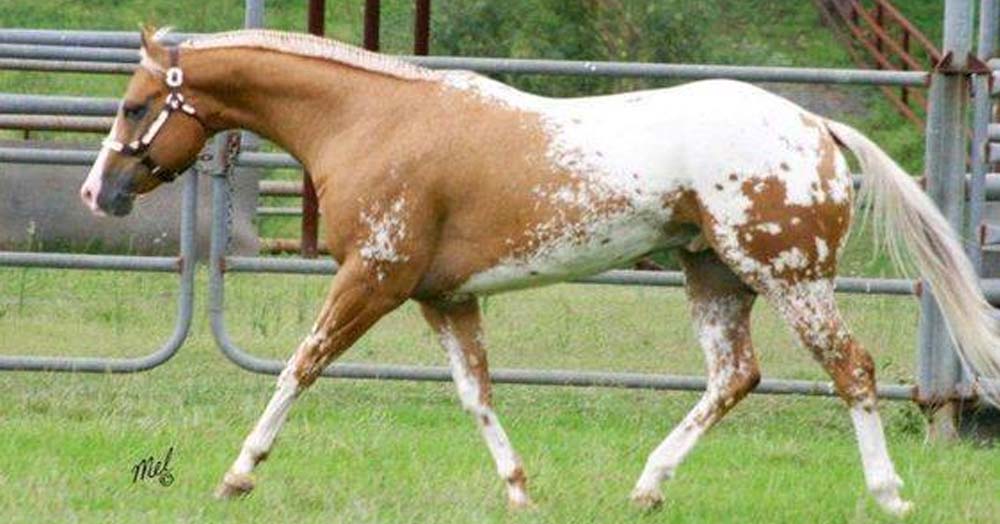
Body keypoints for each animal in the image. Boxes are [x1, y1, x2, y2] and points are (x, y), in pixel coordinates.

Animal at [82, 28, 1000, 516]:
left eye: (133, 106)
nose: (99, 193)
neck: (374, 122)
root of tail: (813, 123)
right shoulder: (443, 298)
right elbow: (477, 395)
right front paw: (521, 491)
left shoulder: (373, 280)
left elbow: (299, 368)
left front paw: (238, 474)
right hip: (715, 278)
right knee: (735, 377)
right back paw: (648, 487)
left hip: (790, 276)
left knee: (853, 370)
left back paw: (889, 495)